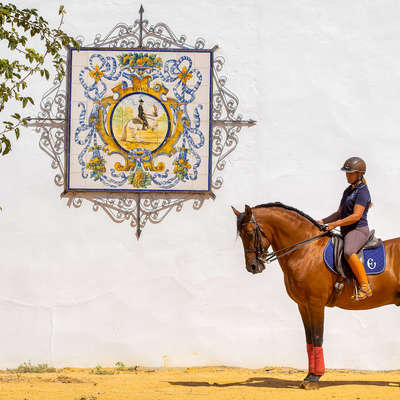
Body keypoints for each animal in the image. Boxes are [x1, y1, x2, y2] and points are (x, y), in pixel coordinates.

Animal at [231, 202, 400, 390]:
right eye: (241, 235)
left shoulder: (315, 304)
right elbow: (309, 340)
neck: (306, 251)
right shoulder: (303, 305)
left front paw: (315, 378)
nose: (252, 267)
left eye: (250, 233)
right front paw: (309, 376)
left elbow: (318, 337)